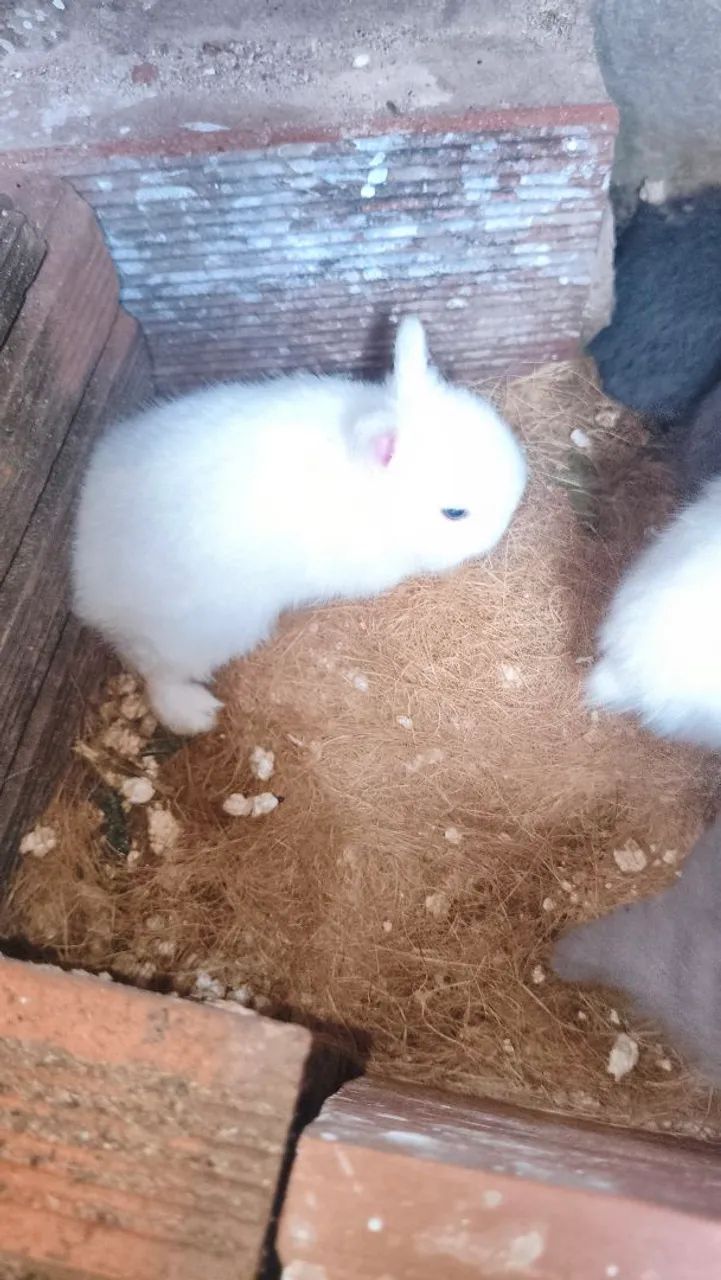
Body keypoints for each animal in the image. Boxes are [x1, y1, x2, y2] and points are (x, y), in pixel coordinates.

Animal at [73, 316, 527, 735]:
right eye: (455, 513)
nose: (513, 508)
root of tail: (87, 585)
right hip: (206, 631)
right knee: (158, 674)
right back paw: (195, 713)